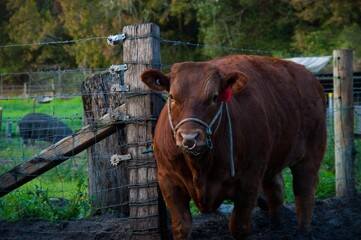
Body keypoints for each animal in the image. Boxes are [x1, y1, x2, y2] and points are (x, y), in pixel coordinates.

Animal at [141, 55, 326, 239]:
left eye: (214, 97)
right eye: (172, 97)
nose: (189, 137)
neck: (200, 168)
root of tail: (308, 75)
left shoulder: (250, 180)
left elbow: (238, 226)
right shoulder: (167, 180)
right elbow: (181, 227)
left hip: (311, 153)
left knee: (304, 191)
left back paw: (303, 231)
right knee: (276, 187)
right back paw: (275, 225)